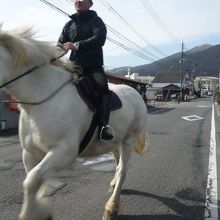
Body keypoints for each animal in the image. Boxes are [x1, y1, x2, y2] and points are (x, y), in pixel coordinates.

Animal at [0, 26, 149, 220]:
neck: (43, 96)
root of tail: (136, 93)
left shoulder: (64, 152)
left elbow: (32, 181)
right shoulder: (29, 153)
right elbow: (33, 181)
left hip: (128, 140)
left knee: (123, 169)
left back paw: (111, 208)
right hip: (115, 141)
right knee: (117, 165)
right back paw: (113, 185)